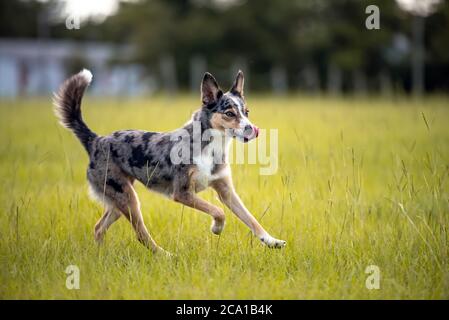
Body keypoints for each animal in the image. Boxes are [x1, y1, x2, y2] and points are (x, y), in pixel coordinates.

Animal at [52, 69, 284, 255]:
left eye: (246, 113)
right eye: (229, 113)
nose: (252, 129)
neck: (210, 147)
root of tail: (95, 140)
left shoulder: (226, 191)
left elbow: (251, 219)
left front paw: (271, 241)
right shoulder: (182, 193)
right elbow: (219, 211)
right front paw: (216, 228)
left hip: (119, 199)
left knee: (98, 228)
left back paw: (102, 255)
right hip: (128, 199)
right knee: (140, 234)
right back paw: (165, 255)